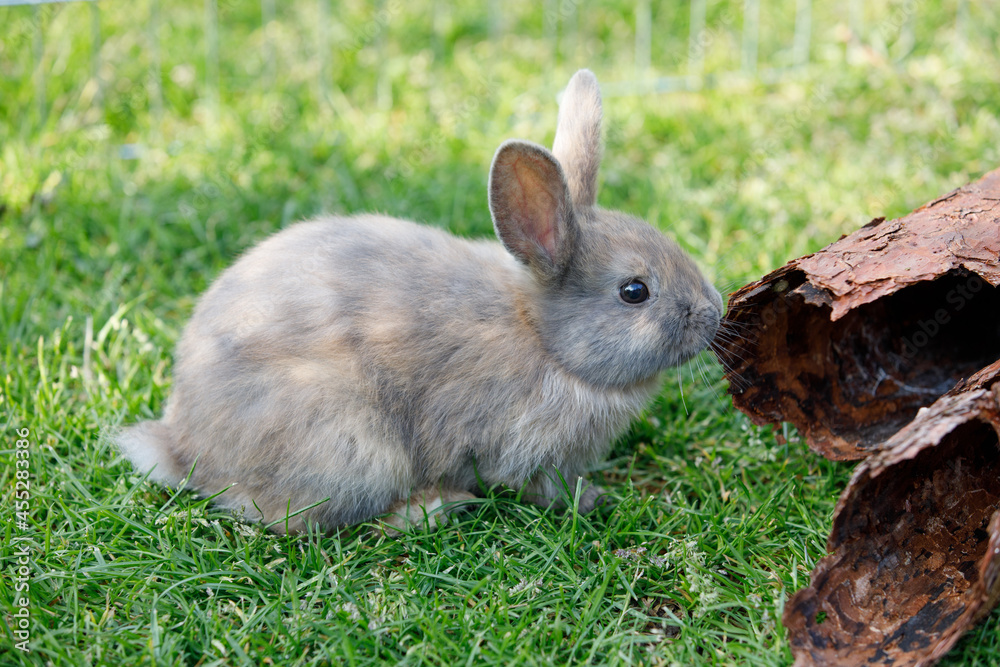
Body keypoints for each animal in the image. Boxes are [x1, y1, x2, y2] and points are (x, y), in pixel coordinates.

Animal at [116, 69, 723, 534]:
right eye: (634, 291)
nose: (713, 313)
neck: (543, 339)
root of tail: (183, 445)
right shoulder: (517, 447)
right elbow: (541, 485)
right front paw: (594, 500)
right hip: (353, 447)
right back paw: (432, 508)